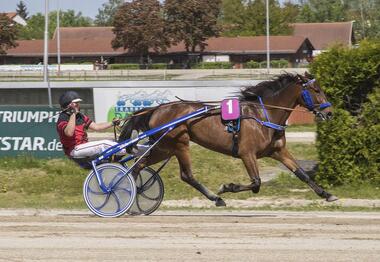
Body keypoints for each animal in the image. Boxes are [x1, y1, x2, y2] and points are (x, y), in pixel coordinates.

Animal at [119, 72, 338, 206]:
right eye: (316, 90)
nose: (329, 113)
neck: (264, 115)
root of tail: (156, 109)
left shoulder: (278, 151)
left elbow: (302, 174)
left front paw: (327, 194)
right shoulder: (246, 153)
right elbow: (256, 183)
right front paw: (226, 187)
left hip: (164, 148)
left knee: (139, 165)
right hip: (179, 144)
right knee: (186, 175)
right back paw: (216, 198)